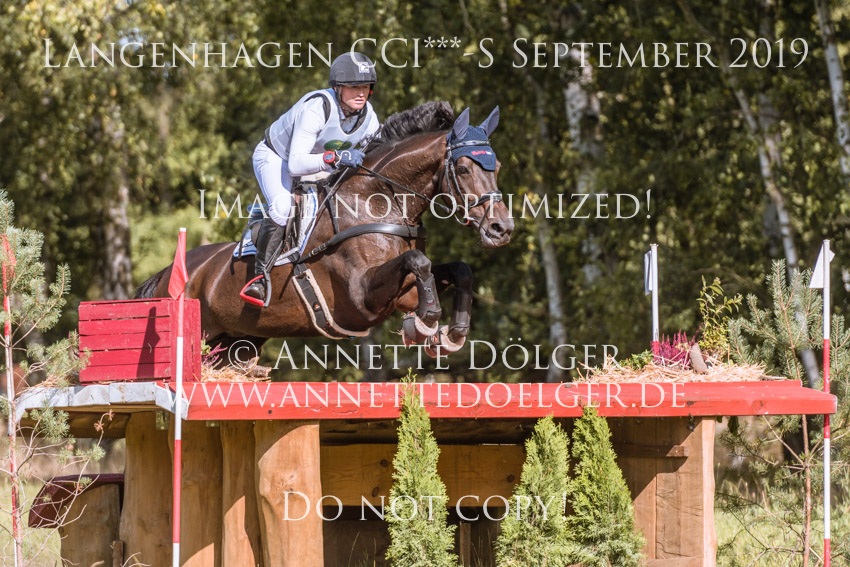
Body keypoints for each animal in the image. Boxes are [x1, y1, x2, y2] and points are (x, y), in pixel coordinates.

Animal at [136, 101, 514, 361]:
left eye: (496, 167)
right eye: (463, 169)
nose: (501, 229)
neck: (376, 203)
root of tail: (168, 273)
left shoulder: (401, 288)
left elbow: (456, 270)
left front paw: (452, 333)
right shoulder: (361, 296)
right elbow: (419, 262)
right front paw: (425, 323)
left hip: (236, 341)